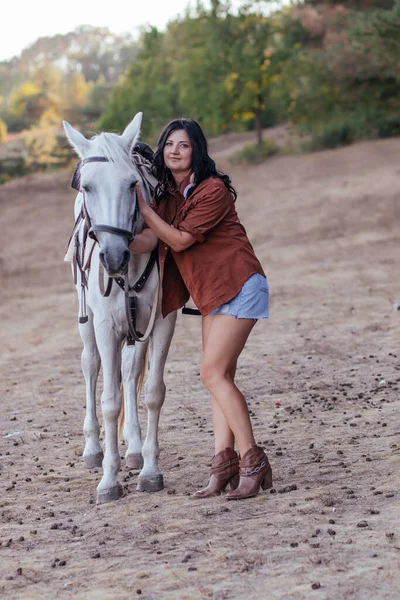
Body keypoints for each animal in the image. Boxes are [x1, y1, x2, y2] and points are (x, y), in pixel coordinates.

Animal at [63, 111, 177, 502]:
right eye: (87, 187)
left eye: (132, 185)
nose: (114, 257)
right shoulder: (105, 326)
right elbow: (110, 400)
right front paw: (109, 480)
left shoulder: (160, 320)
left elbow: (152, 392)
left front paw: (150, 470)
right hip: (86, 321)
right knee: (91, 365)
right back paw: (94, 449)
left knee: (130, 371)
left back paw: (134, 449)